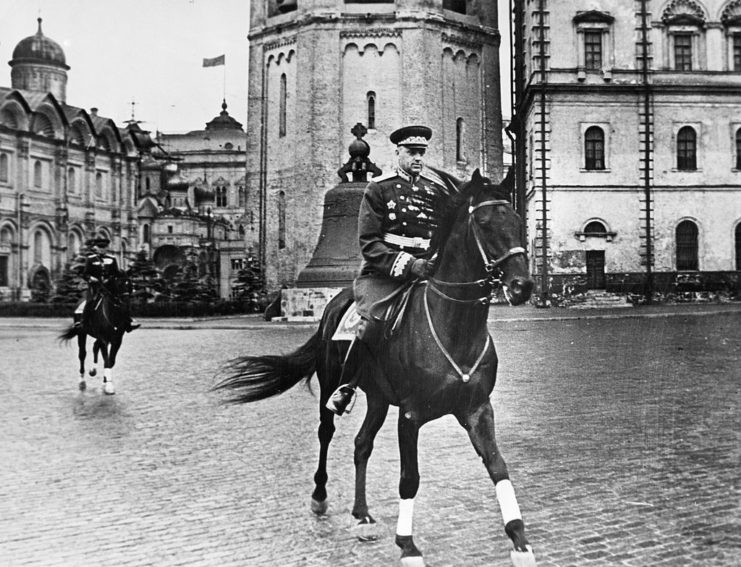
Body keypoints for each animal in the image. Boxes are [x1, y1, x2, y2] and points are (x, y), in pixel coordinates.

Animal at [214, 170, 536, 567]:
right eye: (485, 222)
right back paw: (320, 497)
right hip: (331, 388)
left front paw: (519, 540)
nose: (522, 286)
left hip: (379, 399)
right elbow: (409, 478)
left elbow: (497, 466)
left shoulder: (477, 409)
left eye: (518, 221)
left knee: (361, 444)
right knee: (326, 433)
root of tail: (337, 300)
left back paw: (362, 514)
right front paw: (408, 546)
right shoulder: (411, 415)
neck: (453, 326)